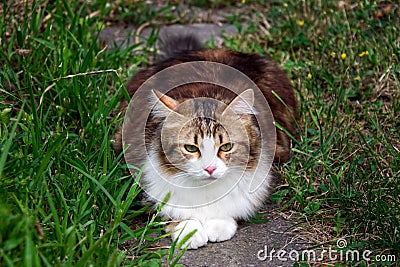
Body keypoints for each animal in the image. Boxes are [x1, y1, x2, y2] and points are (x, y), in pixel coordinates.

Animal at [114, 35, 298, 249]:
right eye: (190, 148)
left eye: (226, 146)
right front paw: (189, 232)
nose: (209, 169)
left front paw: (218, 224)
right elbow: (172, 212)